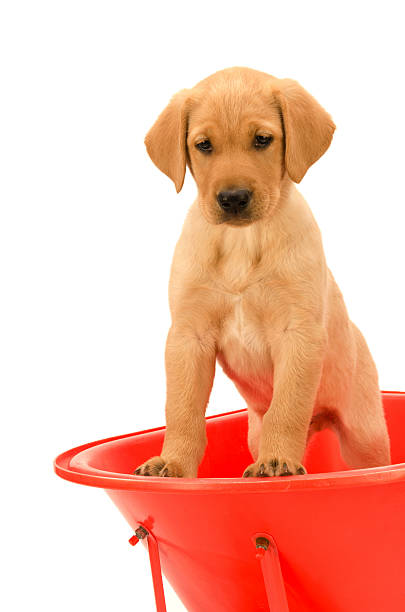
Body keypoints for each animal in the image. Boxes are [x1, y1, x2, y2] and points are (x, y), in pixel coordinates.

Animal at [134, 67, 390, 478]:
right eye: (204, 145)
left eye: (262, 140)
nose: (234, 198)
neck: (242, 241)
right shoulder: (189, 337)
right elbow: (182, 411)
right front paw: (172, 462)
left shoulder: (297, 334)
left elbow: (286, 408)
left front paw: (277, 461)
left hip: (365, 433)